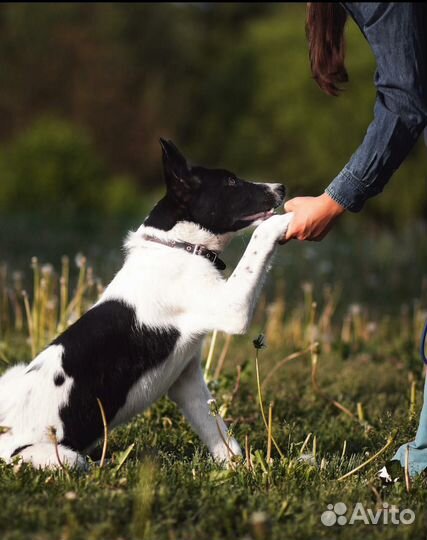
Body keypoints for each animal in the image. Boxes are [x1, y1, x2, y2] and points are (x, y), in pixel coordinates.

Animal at [0, 140, 294, 468]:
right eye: (231, 182)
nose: (281, 188)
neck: (180, 248)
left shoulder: (186, 378)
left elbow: (215, 427)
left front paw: (237, 468)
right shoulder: (232, 308)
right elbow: (258, 241)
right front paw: (286, 220)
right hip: (62, 458)